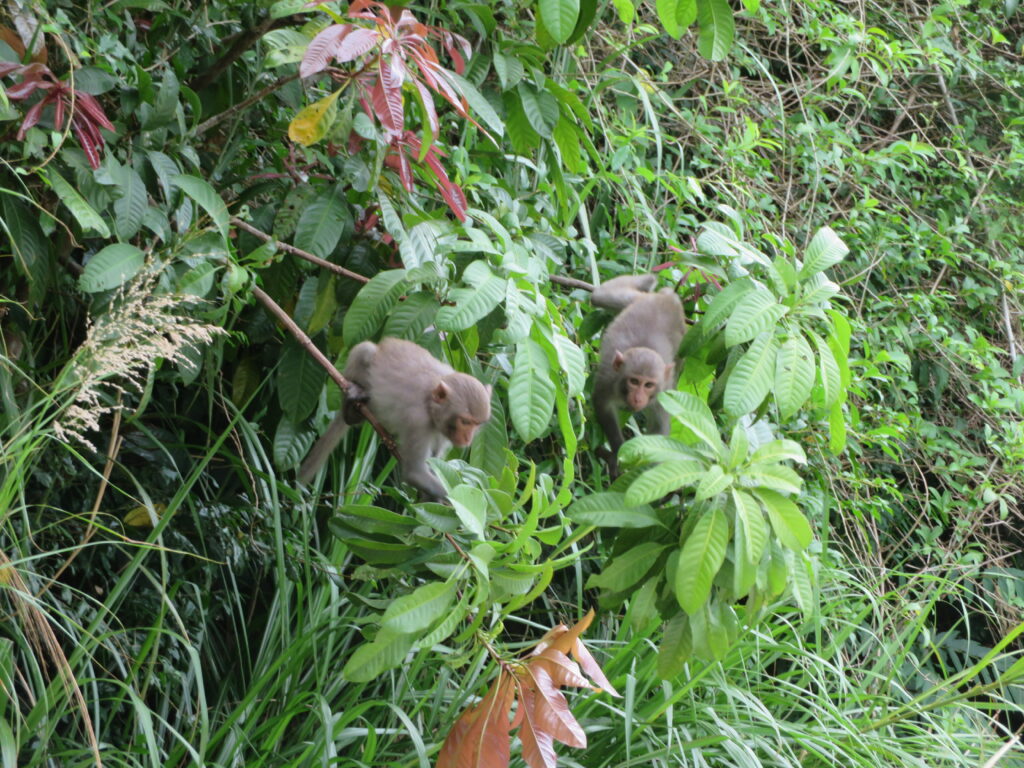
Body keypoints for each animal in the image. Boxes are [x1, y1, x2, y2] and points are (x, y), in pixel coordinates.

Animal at [296, 335, 491, 499]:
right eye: (465, 421)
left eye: (476, 424)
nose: (467, 439)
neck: (432, 406)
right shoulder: (418, 422)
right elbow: (415, 472)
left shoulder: (443, 432)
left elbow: (434, 463)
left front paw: (429, 499)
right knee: (365, 350)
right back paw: (351, 409)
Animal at [589, 274, 684, 473]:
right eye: (634, 381)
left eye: (648, 385)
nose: (638, 398)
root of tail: (666, 299)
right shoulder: (609, 379)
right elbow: (602, 404)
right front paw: (617, 451)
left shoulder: (662, 395)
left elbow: (659, 429)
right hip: (636, 299)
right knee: (599, 296)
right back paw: (646, 281)